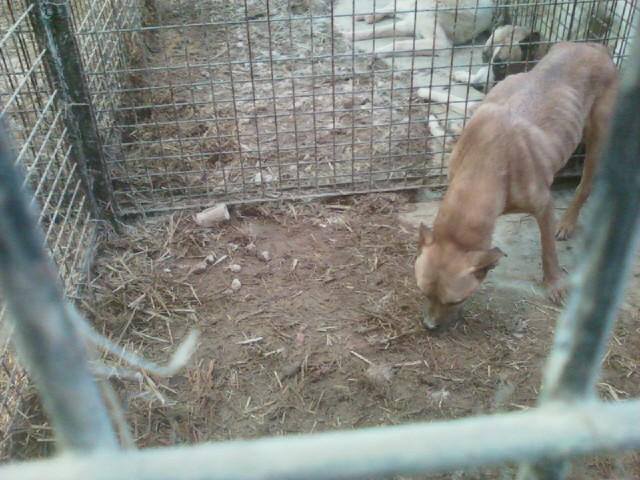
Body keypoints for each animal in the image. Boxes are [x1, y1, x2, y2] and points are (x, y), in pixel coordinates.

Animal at [416, 42, 620, 330]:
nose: (429, 327)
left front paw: (554, 283)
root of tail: (594, 46)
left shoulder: (544, 205)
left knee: (585, 186)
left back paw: (567, 222)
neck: (483, 165)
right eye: (423, 292)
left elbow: (548, 249)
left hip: (599, 140)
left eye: (455, 301)